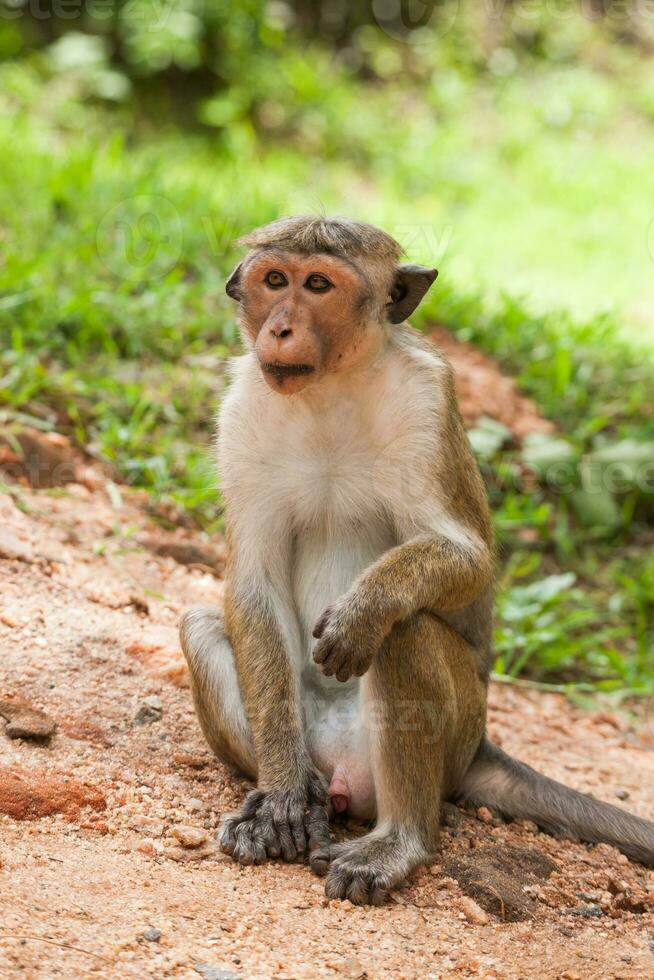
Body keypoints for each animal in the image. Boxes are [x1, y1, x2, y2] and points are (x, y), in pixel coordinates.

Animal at [182, 218, 654, 908]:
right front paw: (284, 796)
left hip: (455, 733)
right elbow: (252, 585)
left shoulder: (427, 400)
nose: (281, 328)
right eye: (274, 280)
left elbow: (468, 557)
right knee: (200, 627)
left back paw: (397, 841)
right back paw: (299, 795)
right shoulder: (242, 410)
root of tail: (478, 746)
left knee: (406, 632)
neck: (331, 386)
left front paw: (362, 610)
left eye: (317, 284)